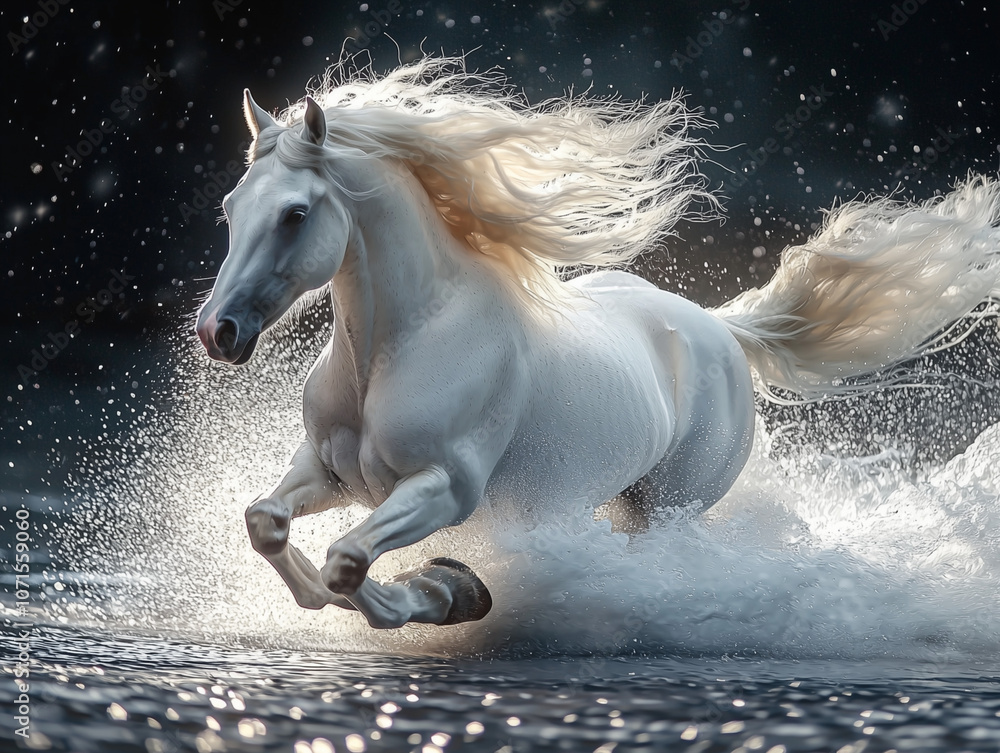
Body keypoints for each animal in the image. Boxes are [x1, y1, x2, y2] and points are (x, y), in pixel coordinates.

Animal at [195, 57, 1000, 630]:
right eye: (231, 206)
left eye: (296, 213)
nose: (218, 332)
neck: (398, 346)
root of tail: (723, 328)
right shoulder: (330, 473)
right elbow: (267, 525)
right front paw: (374, 591)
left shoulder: (447, 487)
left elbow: (350, 564)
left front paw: (448, 588)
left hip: (666, 510)